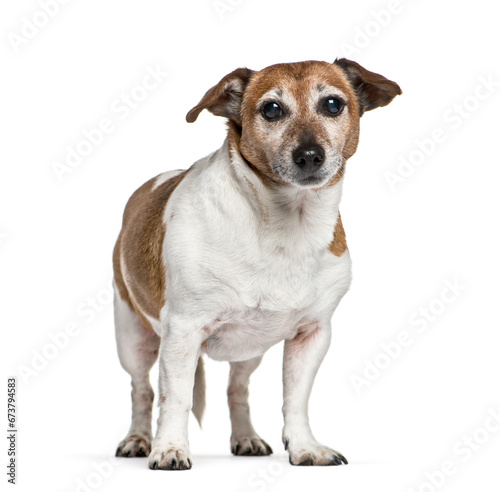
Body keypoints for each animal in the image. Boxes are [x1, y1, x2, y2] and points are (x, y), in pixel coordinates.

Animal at [113, 57, 402, 468]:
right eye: (272, 109)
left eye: (333, 104)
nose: (309, 155)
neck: (287, 225)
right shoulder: (182, 332)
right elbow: (175, 398)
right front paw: (169, 448)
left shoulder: (312, 335)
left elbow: (296, 398)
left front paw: (305, 447)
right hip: (133, 338)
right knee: (142, 390)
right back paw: (138, 439)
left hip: (249, 351)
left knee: (238, 389)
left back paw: (246, 437)